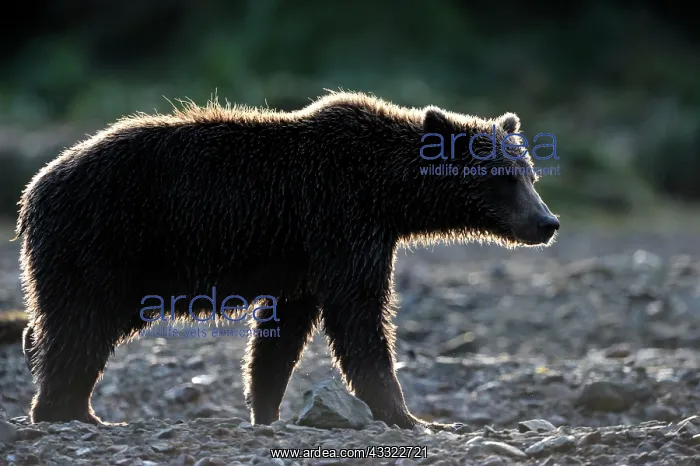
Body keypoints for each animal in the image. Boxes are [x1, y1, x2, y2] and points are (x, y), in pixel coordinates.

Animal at [16, 91, 559, 429]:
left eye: (528, 172)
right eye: (503, 179)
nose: (546, 222)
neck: (388, 194)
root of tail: (33, 189)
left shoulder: (304, 262)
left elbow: (281, 338)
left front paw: (266, 409)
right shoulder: (340, 223)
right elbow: (360, 320)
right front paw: (409, 416)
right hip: (102, 241)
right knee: (79, 325)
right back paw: (67, 410)